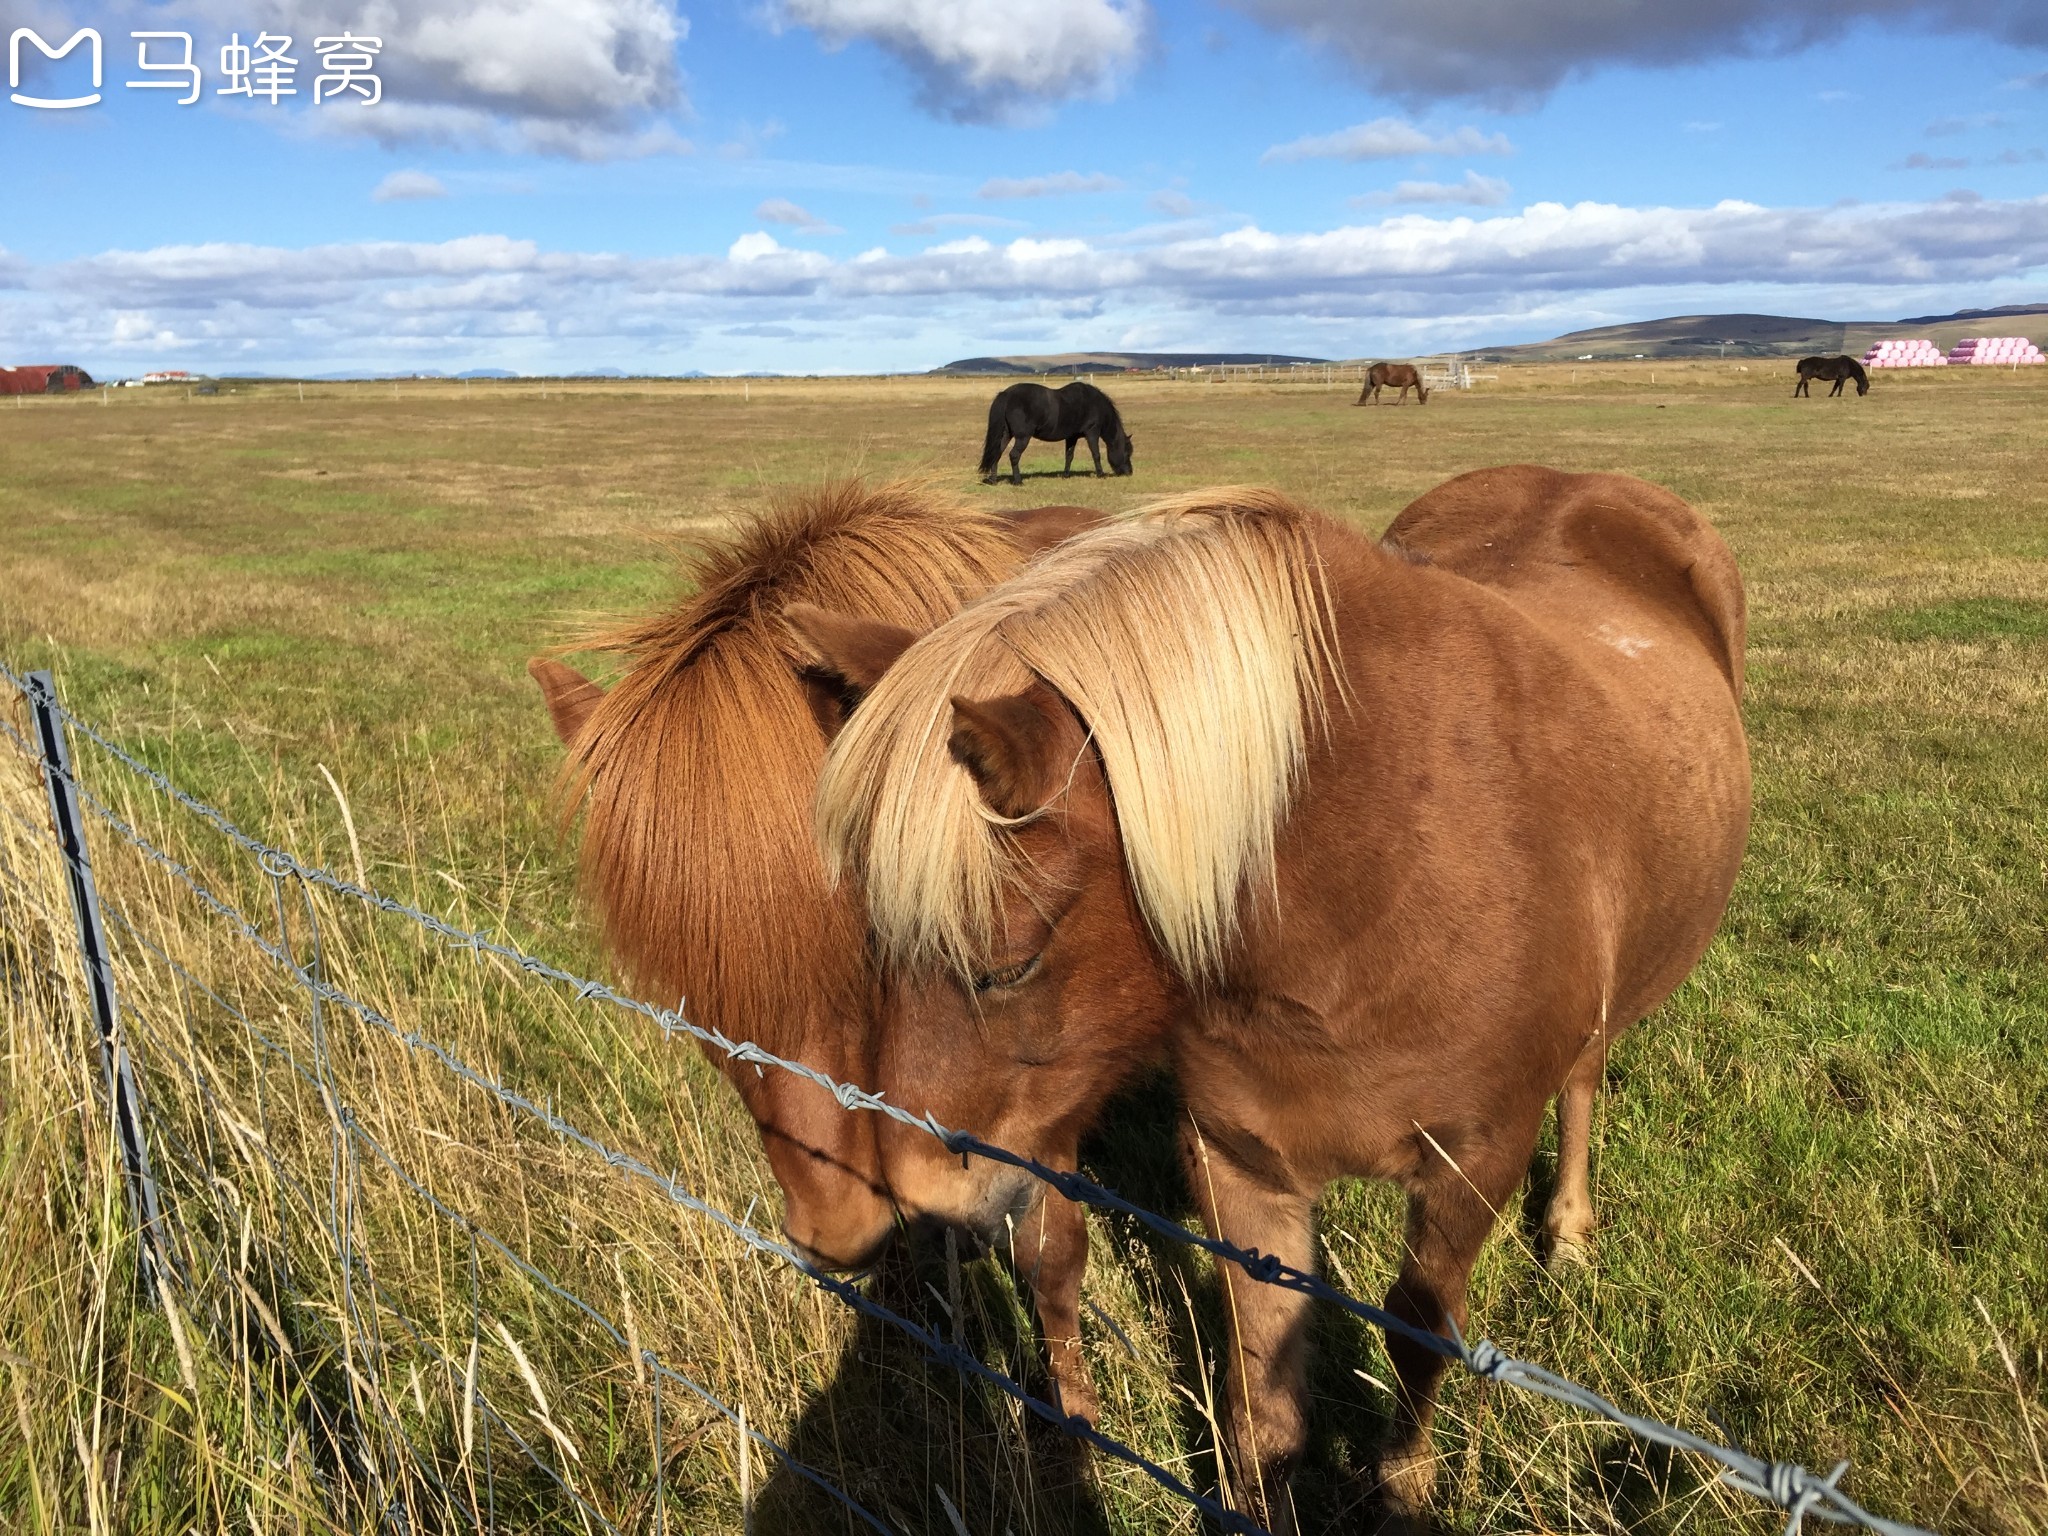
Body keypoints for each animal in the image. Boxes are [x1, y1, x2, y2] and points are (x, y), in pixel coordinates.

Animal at [790, 475, 1753, 1531]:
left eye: (1009, 965)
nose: (916, 1204)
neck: (1381, 880)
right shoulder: (1241, 1165)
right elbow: (1266, 1406)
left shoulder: (1476, 1163)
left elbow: (1418, 1330)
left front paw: (1404, 1485)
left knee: (1584, 1077)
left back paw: (1571, 1233)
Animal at [978, 382, 1138, 483]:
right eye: (1127, 453)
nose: (1129, 472)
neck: (1095, 404)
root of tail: (1006, 394)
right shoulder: (1092, 432)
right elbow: (1096, 454)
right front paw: (1101, 474)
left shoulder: (1072, 437)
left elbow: (1069, 456)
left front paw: (1066, 475)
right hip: (1023, 437)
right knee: (1014, 455)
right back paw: (1018, 481)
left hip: (1005, 434)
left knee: (996, 454)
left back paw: (993, 480)